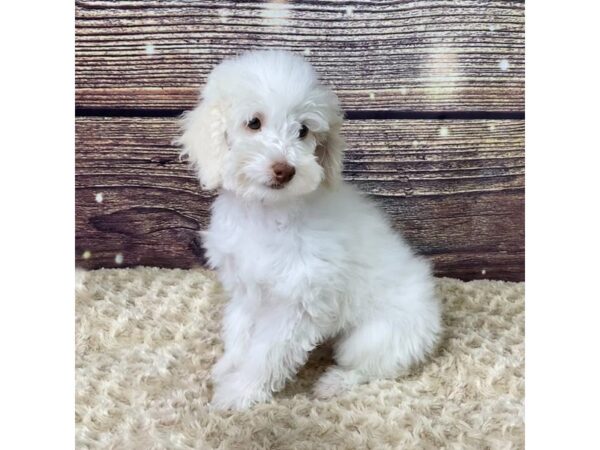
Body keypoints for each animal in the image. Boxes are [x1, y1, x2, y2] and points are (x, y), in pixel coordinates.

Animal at [177, 51, 440, 410]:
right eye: (254, 122)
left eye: (303, 130)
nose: (284, 170)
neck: (267, 212)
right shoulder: (246, 287)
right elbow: (240, 330)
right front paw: (228, 366)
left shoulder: (298, 302)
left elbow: (266, 353)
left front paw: (239, 392)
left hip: (374, 337)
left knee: (374, 368)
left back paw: (334, 382)